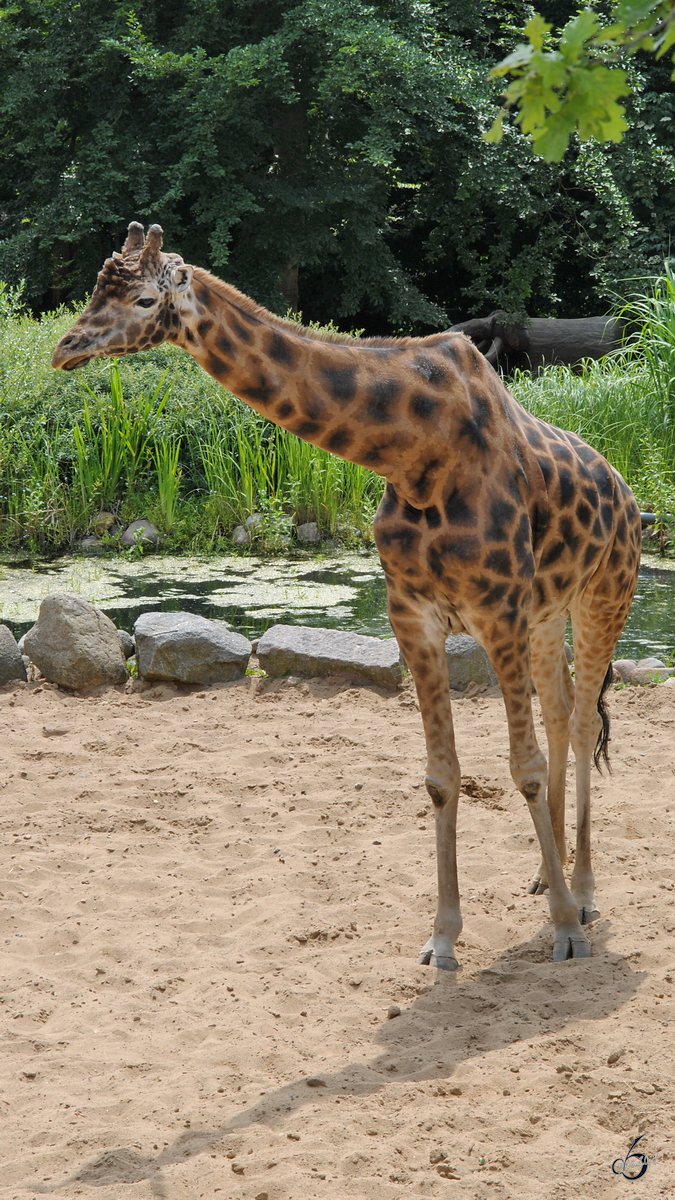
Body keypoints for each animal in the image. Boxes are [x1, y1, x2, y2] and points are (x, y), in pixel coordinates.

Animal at [53, 225, 638, 969]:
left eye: (145, 299)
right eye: (97, 291)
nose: (65, 348)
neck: (410, 453)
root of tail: (626, 493)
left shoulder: (498, 610)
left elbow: (523, 767)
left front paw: (564, 930)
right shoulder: (413, 615)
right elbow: (441, 773)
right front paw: (442, 938)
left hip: (603, 597)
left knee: (586, 722)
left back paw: (583, 895)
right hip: (547, 614)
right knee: (562, 711)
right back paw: (545, 872)